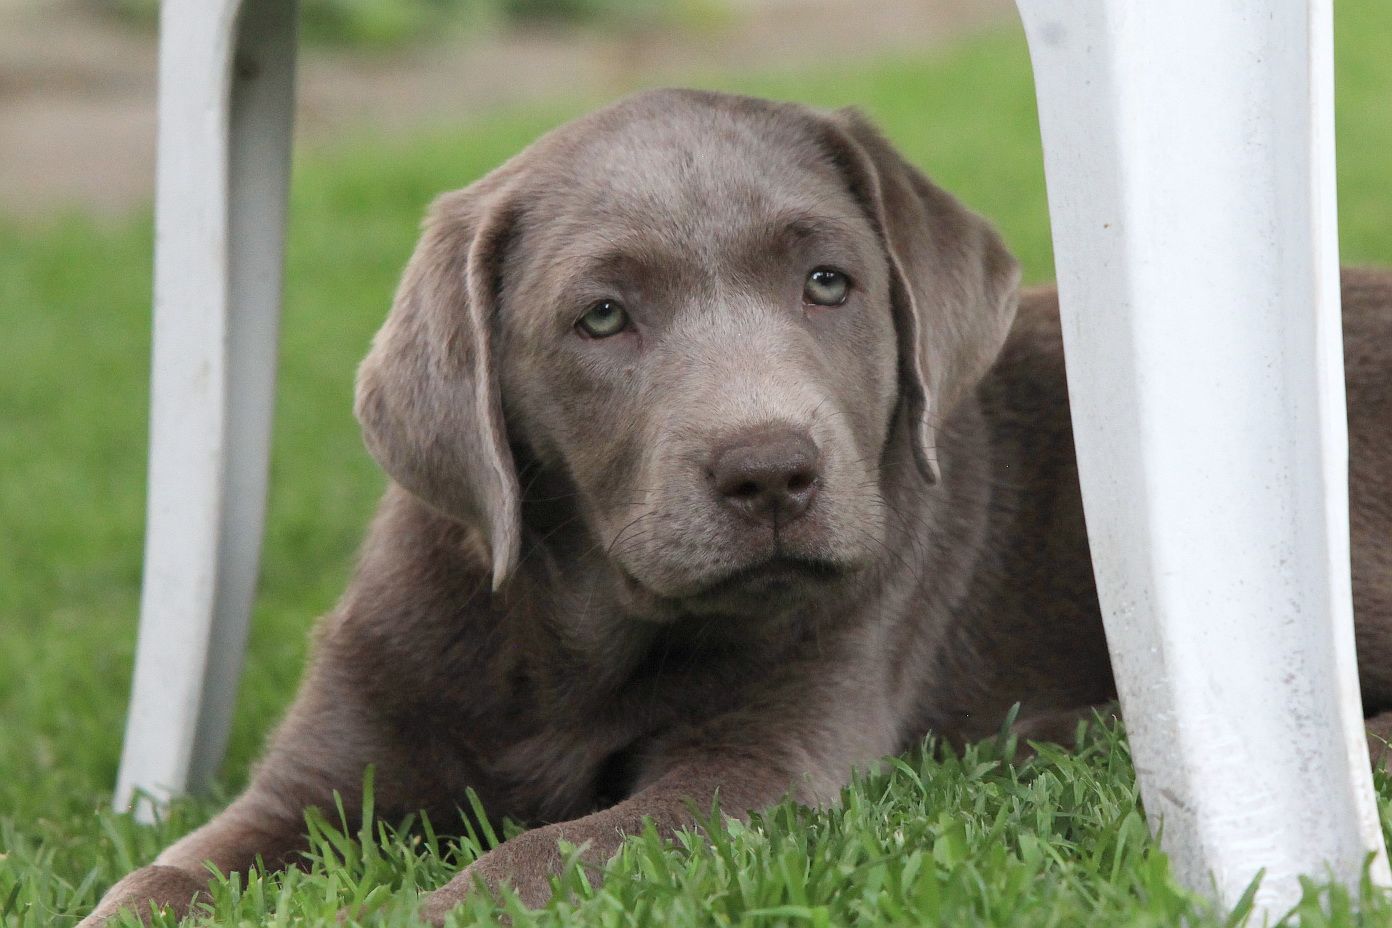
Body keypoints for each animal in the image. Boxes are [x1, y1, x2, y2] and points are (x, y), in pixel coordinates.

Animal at [78, 89, 1392, 928]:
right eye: (603, 316)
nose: (771, 472)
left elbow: (538, 858)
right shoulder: (317, 775)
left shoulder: (754, 769)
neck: (583, 642)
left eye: (829, 283)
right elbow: (163, 877)